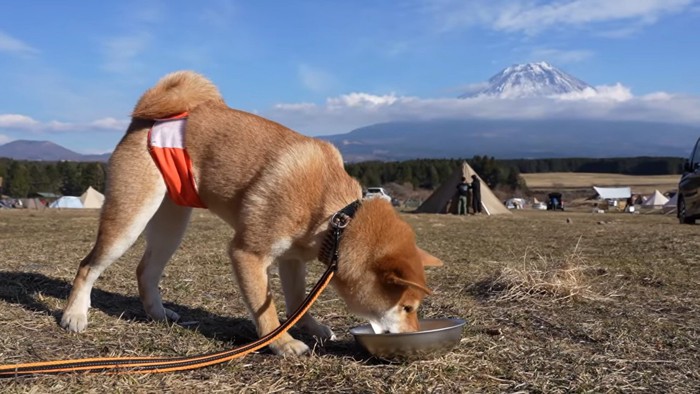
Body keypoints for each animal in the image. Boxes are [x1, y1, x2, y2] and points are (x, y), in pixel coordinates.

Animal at [61, 71, 442, 358]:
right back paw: (74, 315)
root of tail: (146, 118)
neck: (337, 215)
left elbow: (297, 302)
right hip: (130, 218)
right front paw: (282, 343)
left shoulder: (293, 259)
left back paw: (157, 315)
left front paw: (310, 327)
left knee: (145, 271)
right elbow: (267, 309)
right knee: (87, 266)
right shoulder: (248, 254)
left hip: (171, 224)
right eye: (408, 308)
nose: (413, 332)